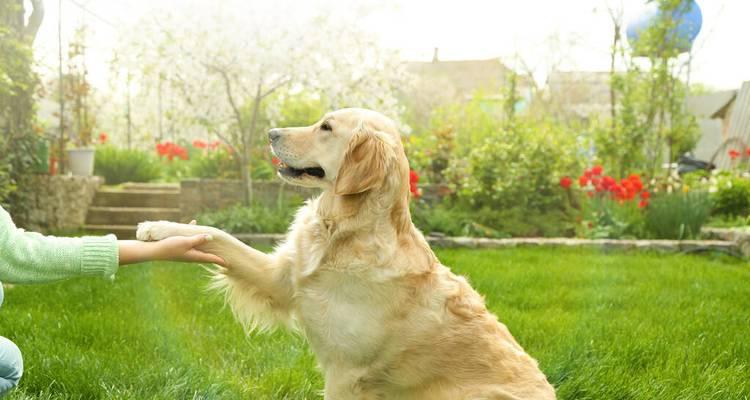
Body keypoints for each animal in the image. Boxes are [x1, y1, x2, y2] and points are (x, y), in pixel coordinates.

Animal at [137, 109, 560, 400]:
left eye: (326, 127)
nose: (271, 133)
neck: (342, 231)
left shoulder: (347, 372)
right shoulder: (282, 278)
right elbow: (217, 234)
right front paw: (160, 227)